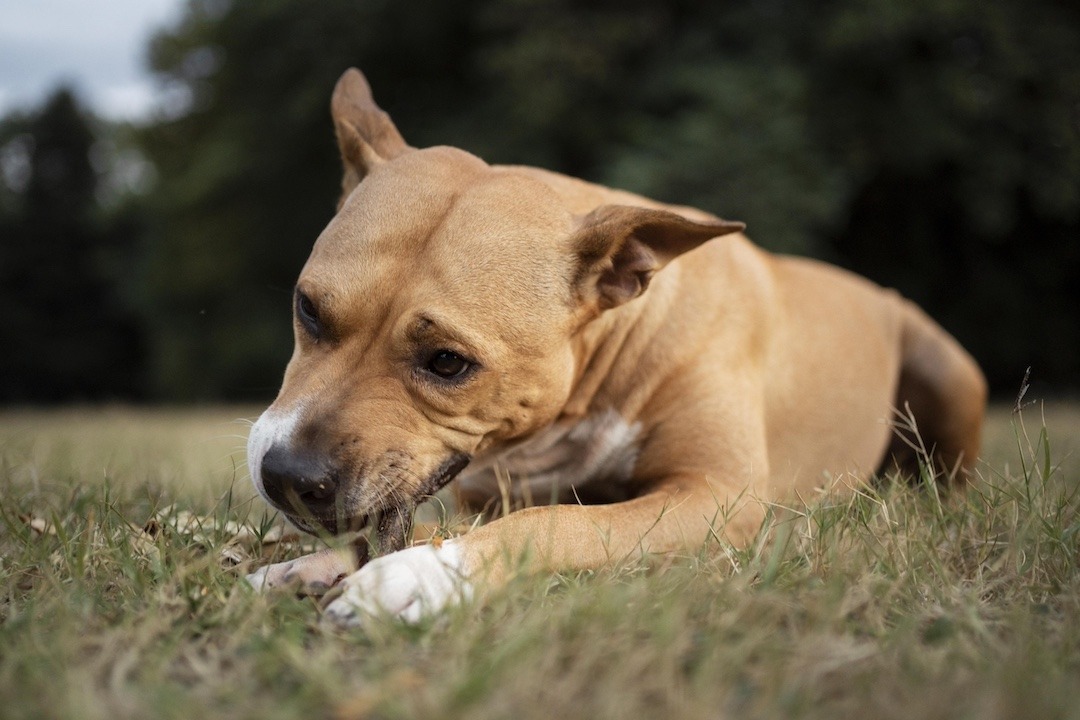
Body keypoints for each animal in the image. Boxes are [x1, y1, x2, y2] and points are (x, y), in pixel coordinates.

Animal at [247, 70, 989, 626]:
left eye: (448, 363)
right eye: (308, 309)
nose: (285, 475)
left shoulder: (712, 496)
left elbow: (554, 523)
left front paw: (421, 578)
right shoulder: (479, 497)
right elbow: (403, 526)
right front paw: (308, 566)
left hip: (947, 366)